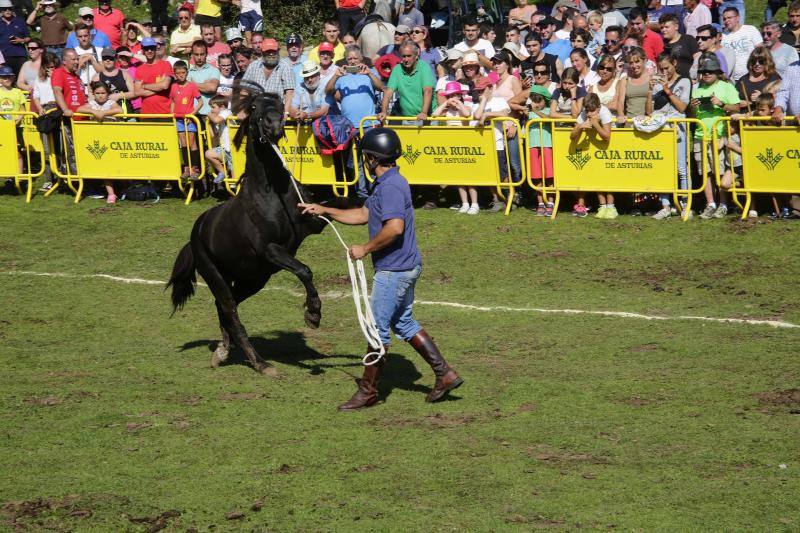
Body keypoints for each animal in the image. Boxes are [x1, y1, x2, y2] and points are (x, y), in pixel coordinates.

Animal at [167, 90, 326, 374]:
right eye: (255, 109)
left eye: (281, 105)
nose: (274, 125)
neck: (270, 194)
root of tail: (197, 232)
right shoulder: (271, 250)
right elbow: (304, 270)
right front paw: (313, 314)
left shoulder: (311, 227)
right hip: (217, 276)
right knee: (231, 312)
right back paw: (260, 363)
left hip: (253, 279)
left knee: (224, 310)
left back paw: (222, 351)